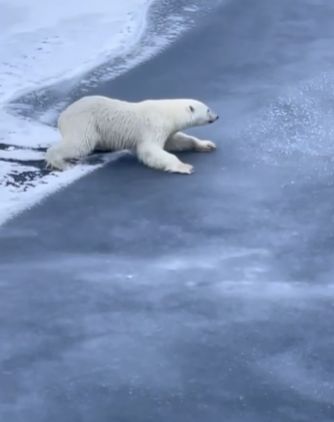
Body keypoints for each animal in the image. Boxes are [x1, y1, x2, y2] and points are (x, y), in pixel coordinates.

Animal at [46, 95, 219, 174]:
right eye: (208, 109)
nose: (217, 116)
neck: (167, 113)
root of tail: (62, 116)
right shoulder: (153, 126)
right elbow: (150, 150)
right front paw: (185, 166)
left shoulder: (166, 130)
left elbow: (176, 141)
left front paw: (206, 145)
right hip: (84, 122)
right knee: (80, 143)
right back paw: (59, 162)